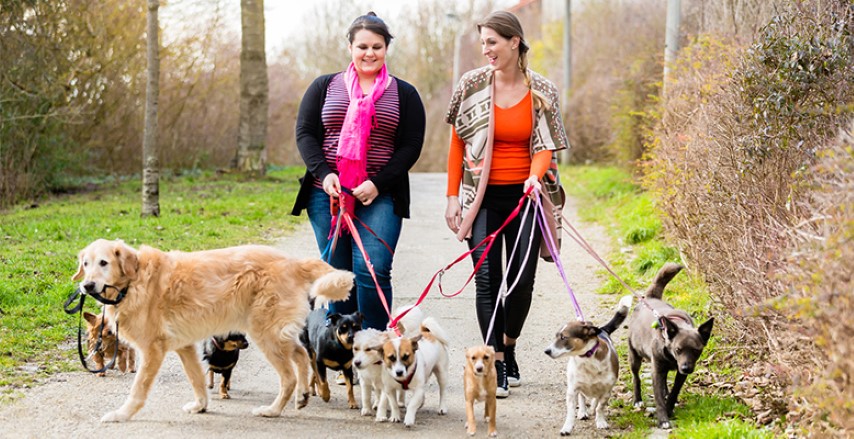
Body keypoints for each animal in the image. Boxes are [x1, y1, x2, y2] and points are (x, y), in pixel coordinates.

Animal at [72, 241, 354, 422]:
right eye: (86, 263)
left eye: (104, 263)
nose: (87, 285)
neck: (134, 281)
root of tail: (294, 263)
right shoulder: (185, 347)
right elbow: (197, 380)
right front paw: (200, 406)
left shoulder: (153, 350)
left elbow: (138, 389)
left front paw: (121, 415)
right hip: (275, 335)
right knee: (300, 355)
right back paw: (303, 396)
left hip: (265, 335)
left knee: (289, 376)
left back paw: (273, 410)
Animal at [544, 296, 632, 436]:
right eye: (556, 336)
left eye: (564, 337)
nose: (546, 351)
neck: (587, 359)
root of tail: (603, 331)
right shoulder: (572, 390)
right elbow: (570, 412)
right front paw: (567, 427)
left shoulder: (607, 391)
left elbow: (600, 407)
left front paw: (600, 421)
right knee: (582, 397)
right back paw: (583, 412)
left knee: (595, 399)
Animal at [628, 264, 716, 430]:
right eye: (678, 349)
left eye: (697, 351)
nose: (687, 368)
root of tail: (649, 298)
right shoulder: (656, 370)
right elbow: (658, 398)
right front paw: (663, 419)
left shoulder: (680, 374)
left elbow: (675, 390)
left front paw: (669, 407)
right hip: (634, 356)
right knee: (636, 377)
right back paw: (638, 399)